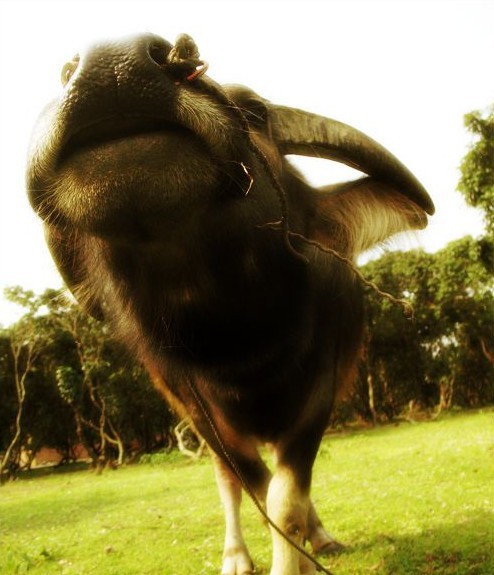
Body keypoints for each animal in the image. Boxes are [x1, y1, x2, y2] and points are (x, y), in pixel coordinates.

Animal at [26, 33, 434, 575]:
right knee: (229, 482)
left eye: (257, 112)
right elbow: (254, 486)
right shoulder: (197, 409)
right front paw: (278, 556)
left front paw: (302, 554)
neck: (237, 343)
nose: (110, 65)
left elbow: (287, 499)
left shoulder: (320, 394)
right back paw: (238, 554)